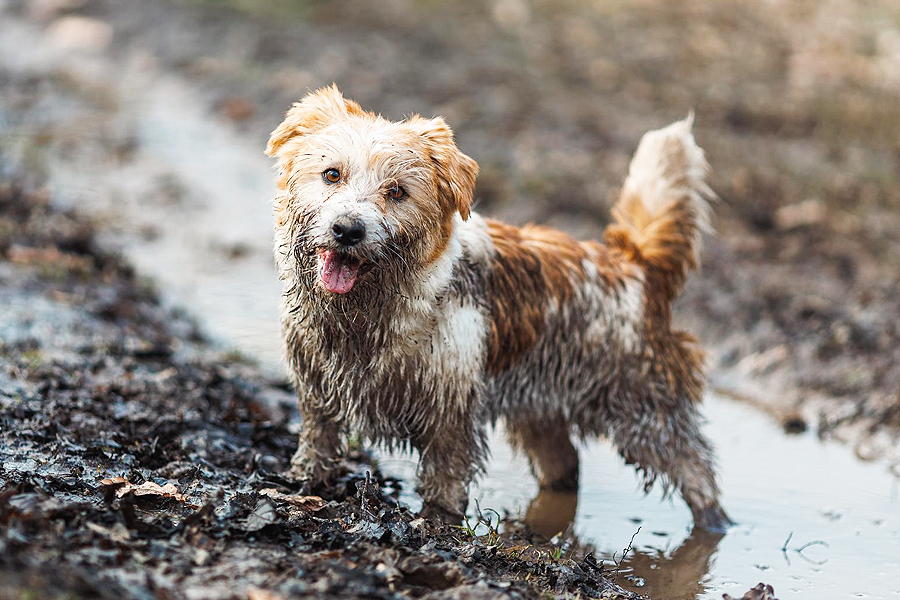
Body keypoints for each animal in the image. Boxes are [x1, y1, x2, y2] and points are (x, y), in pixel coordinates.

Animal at [266, 83, 732, 528]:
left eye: (396, 191)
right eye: (331, 174)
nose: (347, 230)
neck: (367, 314)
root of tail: (636, 265)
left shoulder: (451, 410)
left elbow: (447, 474)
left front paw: (438, 520)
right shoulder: (317, 386)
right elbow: (318, 439)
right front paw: (302, 483)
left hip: (647, 413)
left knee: (698, 473)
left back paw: (715, 526)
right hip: (541, 412)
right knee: (566, 467)